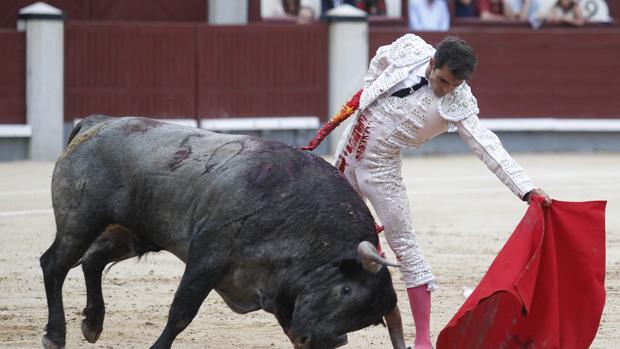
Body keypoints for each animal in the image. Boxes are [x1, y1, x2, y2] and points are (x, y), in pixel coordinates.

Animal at [38, 115, 406, 346]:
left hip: (131, 233)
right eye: (345, 290)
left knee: (92, 261)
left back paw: (92, 324)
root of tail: (97, 123)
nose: (327, 340)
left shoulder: (282, 291)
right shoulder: (207, 259)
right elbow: (181, 314)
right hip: (81, 221)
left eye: (363, 320)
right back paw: (55, 336)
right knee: (54, 264)